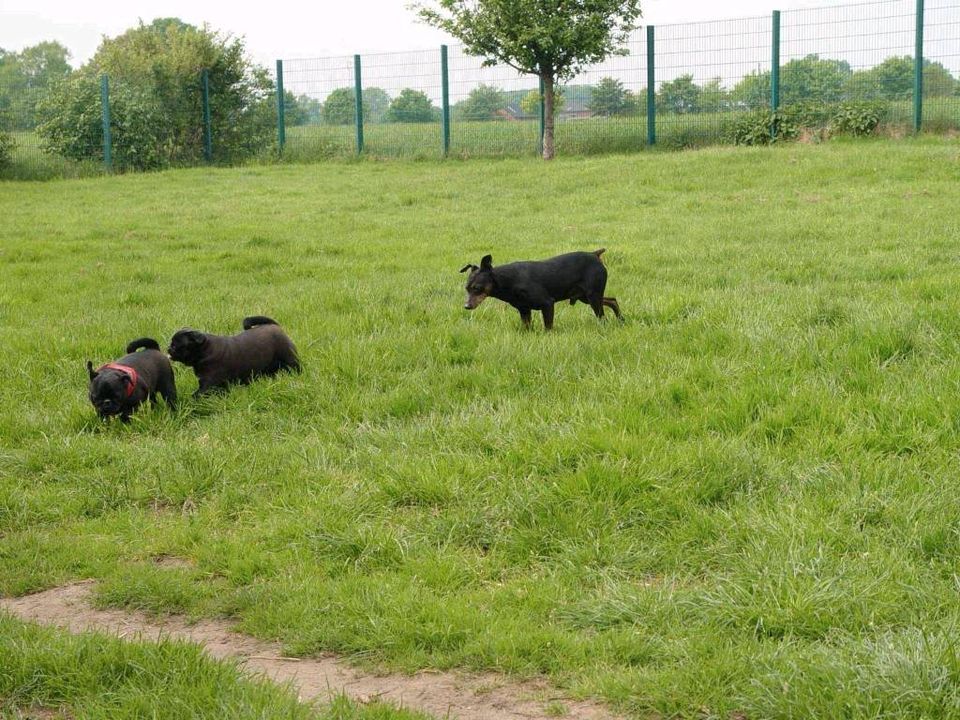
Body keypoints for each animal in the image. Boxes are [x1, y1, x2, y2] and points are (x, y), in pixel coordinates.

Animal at [167, 316, 298, 396]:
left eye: (175, 345)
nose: (168, 348)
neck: (205, 350)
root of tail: (274, 325)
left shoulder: (207, 384)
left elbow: (198, 395)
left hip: (289, 358)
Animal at [464, 248, 628, 326]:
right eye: (466, 288)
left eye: (477, 288)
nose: (466, 306)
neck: (509, 280)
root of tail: (595, 254)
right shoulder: (524, 310)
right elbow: (527, 327)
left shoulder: (547, 304)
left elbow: (548, 327)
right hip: (586, 297)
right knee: (612, 300)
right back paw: (621, 320)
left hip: (592, 296)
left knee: (603, 316)